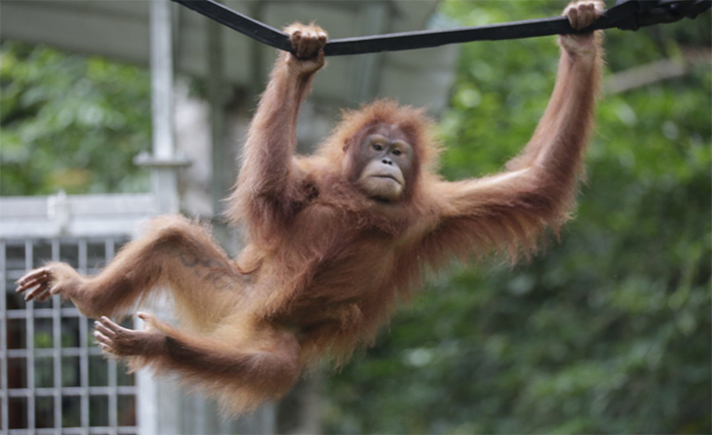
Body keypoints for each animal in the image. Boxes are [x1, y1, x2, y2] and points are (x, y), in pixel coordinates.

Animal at [17, 0, 605, 414]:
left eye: (399, 152)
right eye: (377, 146)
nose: (387, 162)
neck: (368, 202)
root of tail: (250, 315)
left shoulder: (435, 210)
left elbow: (537, 182)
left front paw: (579, 39)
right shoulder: (311, 181)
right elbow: (267, 194)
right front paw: (300, 62)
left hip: (268, 329)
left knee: (265, 362)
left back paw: (154, 344)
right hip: (239, 294)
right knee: (173, 241)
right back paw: (89, 295)